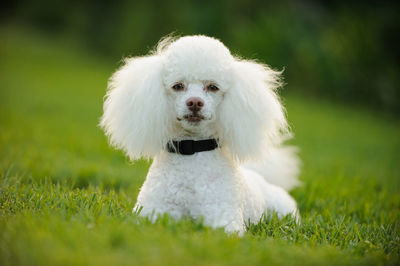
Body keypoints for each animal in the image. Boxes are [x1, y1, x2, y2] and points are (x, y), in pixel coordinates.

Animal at [100, 35, 300, 235]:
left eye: (213, 87)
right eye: (178, 86)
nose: (195, 102)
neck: (192, 149)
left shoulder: (223, 216)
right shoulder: (151, 211)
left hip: (282, 210)